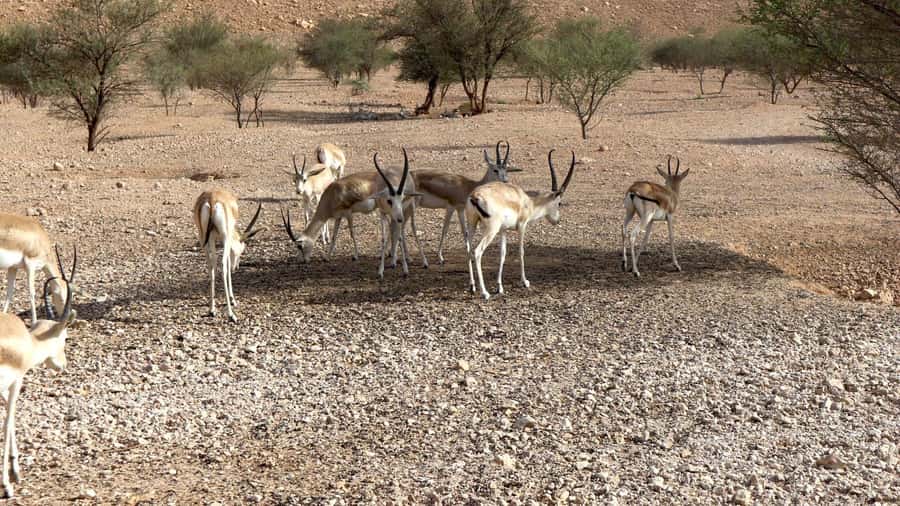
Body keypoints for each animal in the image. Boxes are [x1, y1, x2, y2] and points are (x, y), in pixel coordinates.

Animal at [0, 245, 76, 499]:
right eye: (65, 337)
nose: (63, 364)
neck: (29, 342)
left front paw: (15, 470)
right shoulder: (16, 381)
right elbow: (8, 422)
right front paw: (8, 484)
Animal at [193, 190, 265, 322]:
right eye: (241, 250)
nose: (236, 267)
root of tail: (211, 199)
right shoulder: (227, 238)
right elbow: (226, 263)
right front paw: (232, 299)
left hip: (203, 238)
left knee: (211, 266)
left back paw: (212, 309)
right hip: (224, 236)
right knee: (222, 265)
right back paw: (231, 314)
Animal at [465, 150, 575, 300]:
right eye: (559, 203)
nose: (557, 220)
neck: (528, 202)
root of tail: (475, 196)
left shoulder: (503, 230)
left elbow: (503, 254)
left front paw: (500, 287)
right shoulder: (522, 226)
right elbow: (521, 251)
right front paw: (525, 282)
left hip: (472, 225)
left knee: (468, 250)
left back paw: (472, 287)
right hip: (491, 230)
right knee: (477, 252)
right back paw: (485, 293)